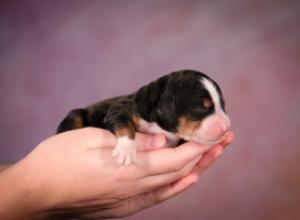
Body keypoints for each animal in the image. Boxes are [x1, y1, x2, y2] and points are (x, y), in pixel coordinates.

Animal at [56, 69, 231, 164]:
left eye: (223, 105)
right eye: (202, 108)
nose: (227, 127)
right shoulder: (121, 109)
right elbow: (124, 125)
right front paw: (126, 149)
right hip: (75, 115)